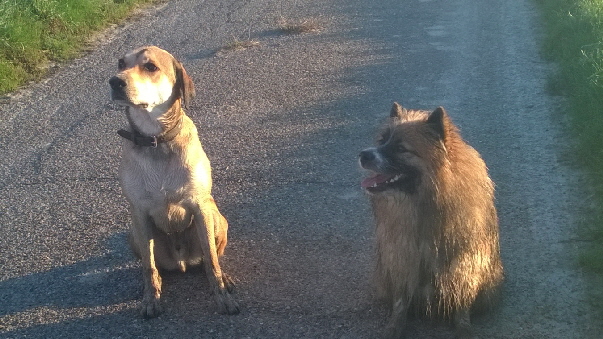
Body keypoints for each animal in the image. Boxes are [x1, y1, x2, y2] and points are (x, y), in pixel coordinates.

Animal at [109, 45, 239, 318]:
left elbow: (212, 260)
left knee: (209, 258)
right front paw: (151, 298)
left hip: (216, 218)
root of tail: (181, 261)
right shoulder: (138, 212)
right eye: (120, 63)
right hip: (133, 233)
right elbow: (148, 266)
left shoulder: (200, 205)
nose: (115, 81)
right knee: (154, 264)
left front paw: (222, 295)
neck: (157, 141)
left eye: (150, 67)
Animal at [358, 103, 504, 338]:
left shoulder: (463, 258)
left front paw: (463, 326)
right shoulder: (402, 255)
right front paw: (395, 325)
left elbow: (462, 297)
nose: (363, 155)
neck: (425, 205)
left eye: (401, 149)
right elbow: (401, 300)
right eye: (382, 141)